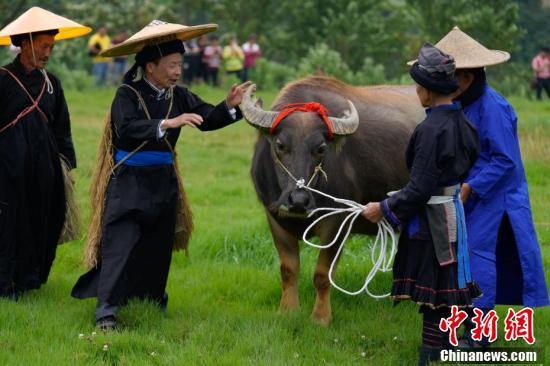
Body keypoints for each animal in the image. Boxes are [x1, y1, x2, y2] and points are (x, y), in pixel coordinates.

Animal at [243, 76, 426, 324]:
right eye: (280, 145)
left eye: (320, 148)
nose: (298, 200)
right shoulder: (274, 217)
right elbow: (288, 269)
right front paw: (288, 311)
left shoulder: (338, 223)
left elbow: (322, 274)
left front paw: (320, 317)